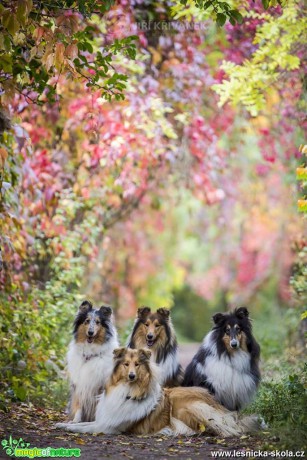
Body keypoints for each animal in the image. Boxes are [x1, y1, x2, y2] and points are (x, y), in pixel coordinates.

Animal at [56, 348, 260, 434]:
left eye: (137, 365)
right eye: (126, 364)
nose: (131, 376)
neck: (127, 391)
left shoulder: (109, 427)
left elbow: (86, 428)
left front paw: (70, 428)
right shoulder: (104, 420)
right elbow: (81, 424)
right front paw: (62, 425)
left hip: (191, 407)